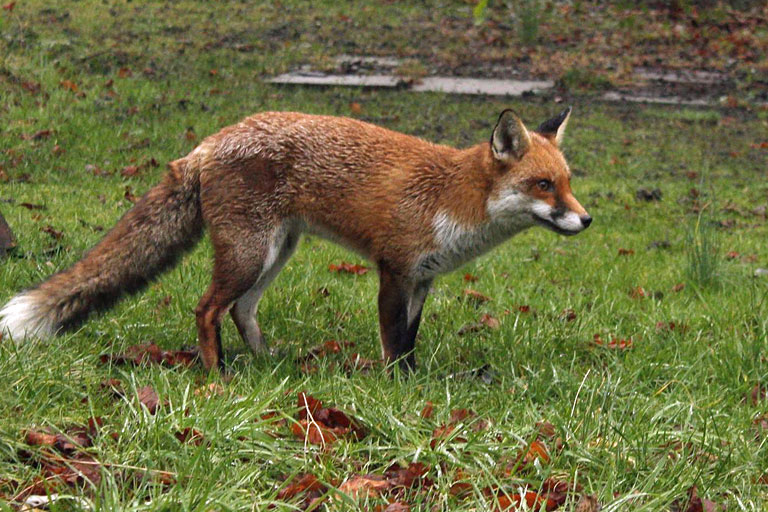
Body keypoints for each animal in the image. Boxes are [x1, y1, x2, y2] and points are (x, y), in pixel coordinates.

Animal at [0, 108, 591, 372]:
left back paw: (267, 361)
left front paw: (415, 380)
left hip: (276, 253)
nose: (586, 221)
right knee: (207, 309)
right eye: (543, 185)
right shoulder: (394, 270)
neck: (454, 198)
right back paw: (216, 375)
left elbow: (410, 343)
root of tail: (206, 144)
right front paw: (398, 390)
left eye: (567, 182)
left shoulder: (423, 280)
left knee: (242, 311)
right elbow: (392, 342)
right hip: (248, 254)